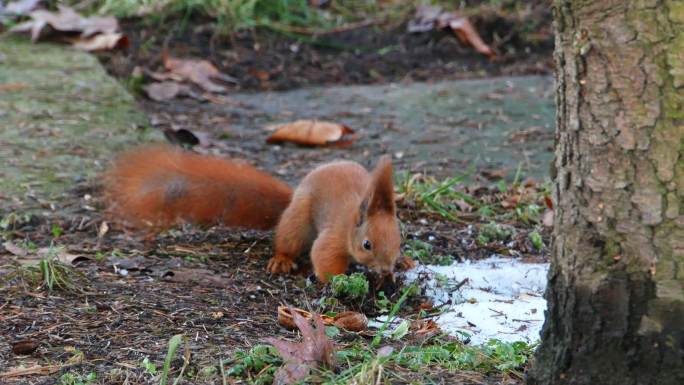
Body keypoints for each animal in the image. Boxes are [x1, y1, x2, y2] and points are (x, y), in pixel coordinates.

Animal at [105, 146, 404, 280]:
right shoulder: (333, 238)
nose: (386, 270)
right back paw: (282, 260)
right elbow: (324, 258)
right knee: (288, 240)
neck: (354, 219)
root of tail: (294, 194)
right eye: (367, 245)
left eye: (399, 241)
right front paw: (340, 280)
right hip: (297, 220)